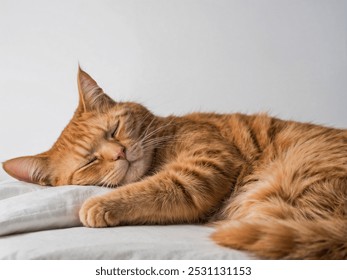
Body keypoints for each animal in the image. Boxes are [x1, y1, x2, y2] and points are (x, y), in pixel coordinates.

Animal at [3, 67, 347, 258]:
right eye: (90, 161)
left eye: (114, 130)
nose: (119, 153)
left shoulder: (203, 167)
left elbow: (151, 188)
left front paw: (99, 205)